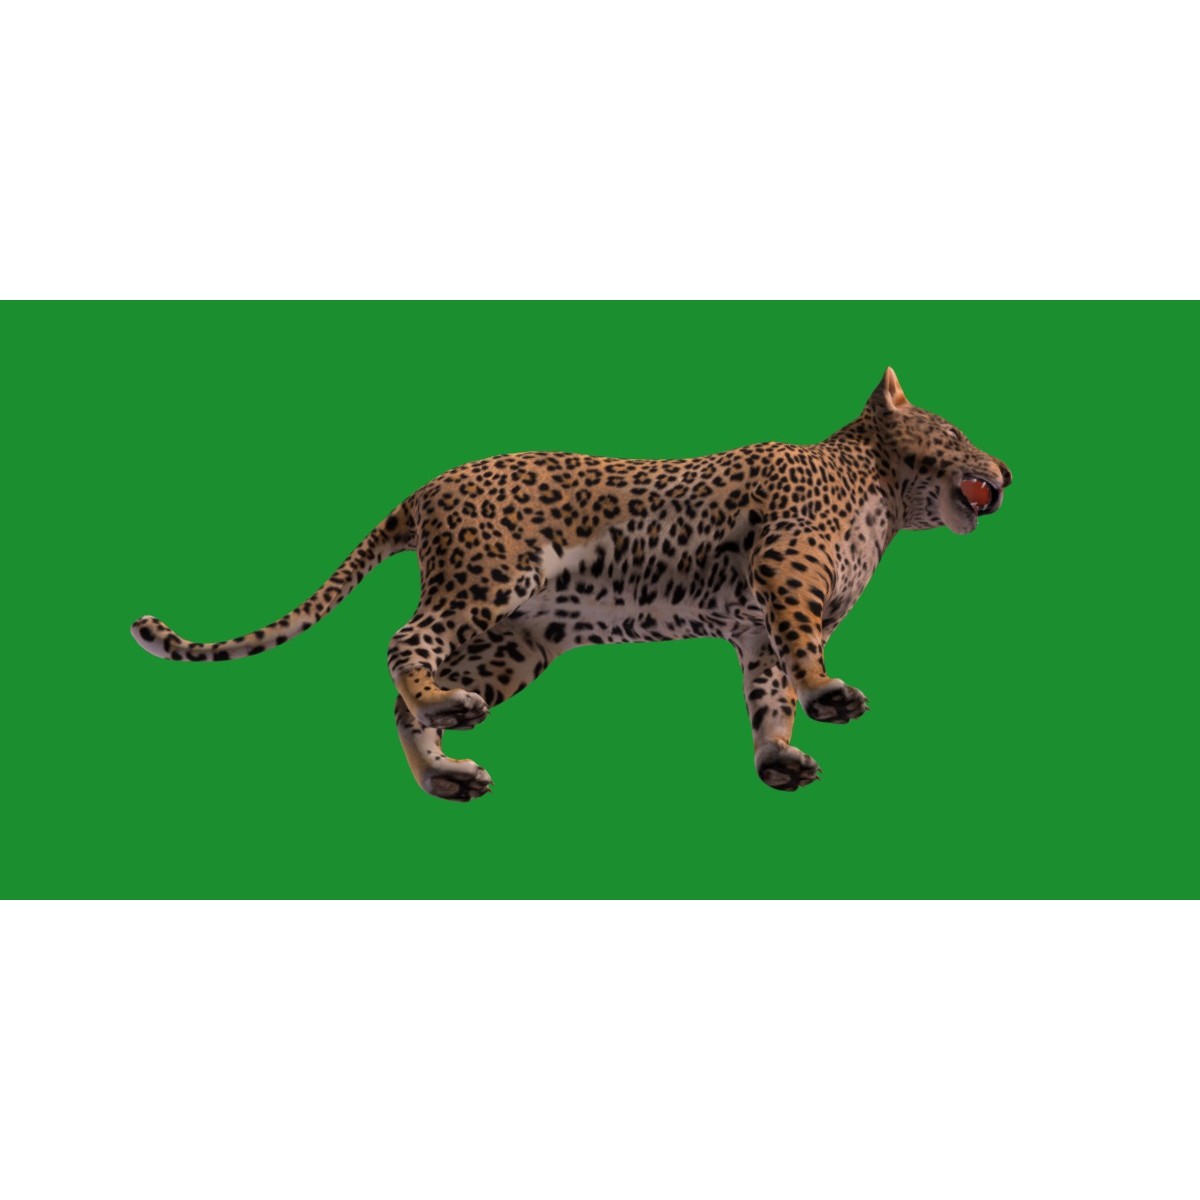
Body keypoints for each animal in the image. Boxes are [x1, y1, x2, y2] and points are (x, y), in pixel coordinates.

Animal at [132, 368, 1011, 800]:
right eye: (959, 431)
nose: (1007, 471)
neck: (887, 494)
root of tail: (425, 488)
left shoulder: (754, 625)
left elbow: (767, 693)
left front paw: (777, 755)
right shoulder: (785, 571)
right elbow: (804, 652)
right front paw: (830, 693)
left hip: (520, 640)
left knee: (402, 699)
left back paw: (446, 767)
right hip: (484, 577)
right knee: (403, 642)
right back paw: (444, 711)